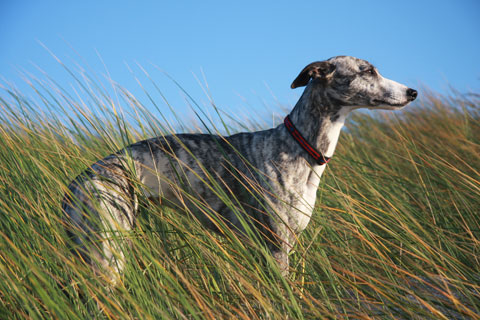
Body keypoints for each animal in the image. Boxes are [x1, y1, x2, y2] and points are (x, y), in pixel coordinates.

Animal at [62, 55, 416, 282]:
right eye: (367, 71)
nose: (412, 92)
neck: (298, 145)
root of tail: (81, 179)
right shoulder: (276, 247)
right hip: (110, 251)